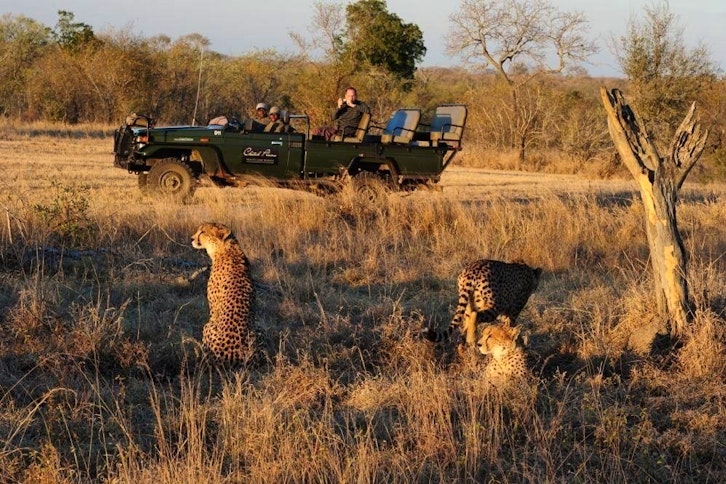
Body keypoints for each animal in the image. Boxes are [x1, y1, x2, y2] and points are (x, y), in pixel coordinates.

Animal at [191, 222, 262, 366]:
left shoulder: (213, 313)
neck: (226, 249)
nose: (191, 238)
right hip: (256, 331)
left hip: (207, 326)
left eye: (202, 232)